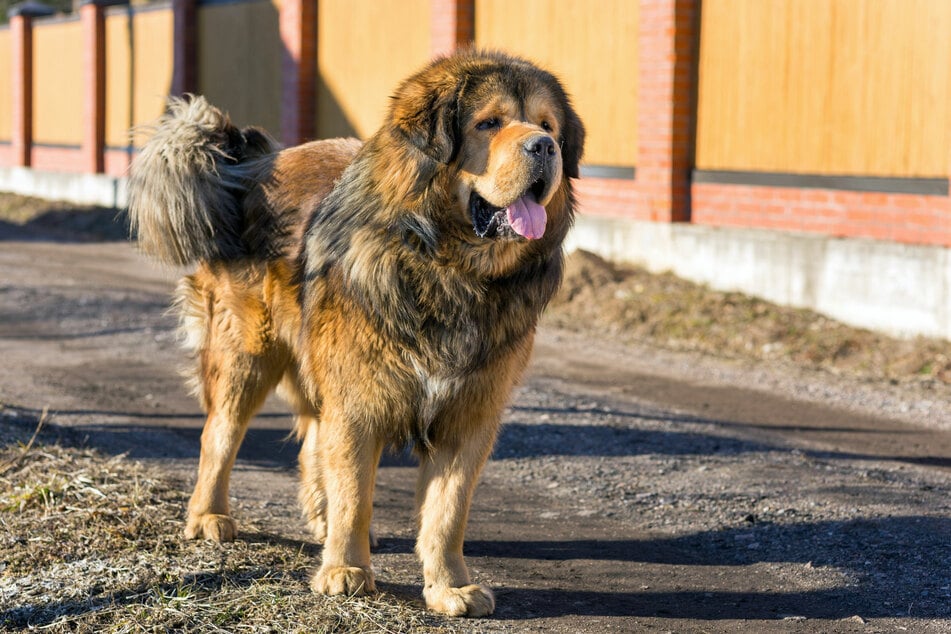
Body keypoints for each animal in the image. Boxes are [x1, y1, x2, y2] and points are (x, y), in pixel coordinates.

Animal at [128, 51, 580, 616]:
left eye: (548, 126)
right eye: (490, 123)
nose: (544, 147)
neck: (449, 269)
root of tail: (255, 163)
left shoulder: (470, 412)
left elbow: (447, 511)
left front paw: (448, 586)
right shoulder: (359, 398)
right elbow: (356, 493)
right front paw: (346, 569)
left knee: (312, 445)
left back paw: (320, 523)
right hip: (246, 356)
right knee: (220, 436)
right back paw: (210, 516)